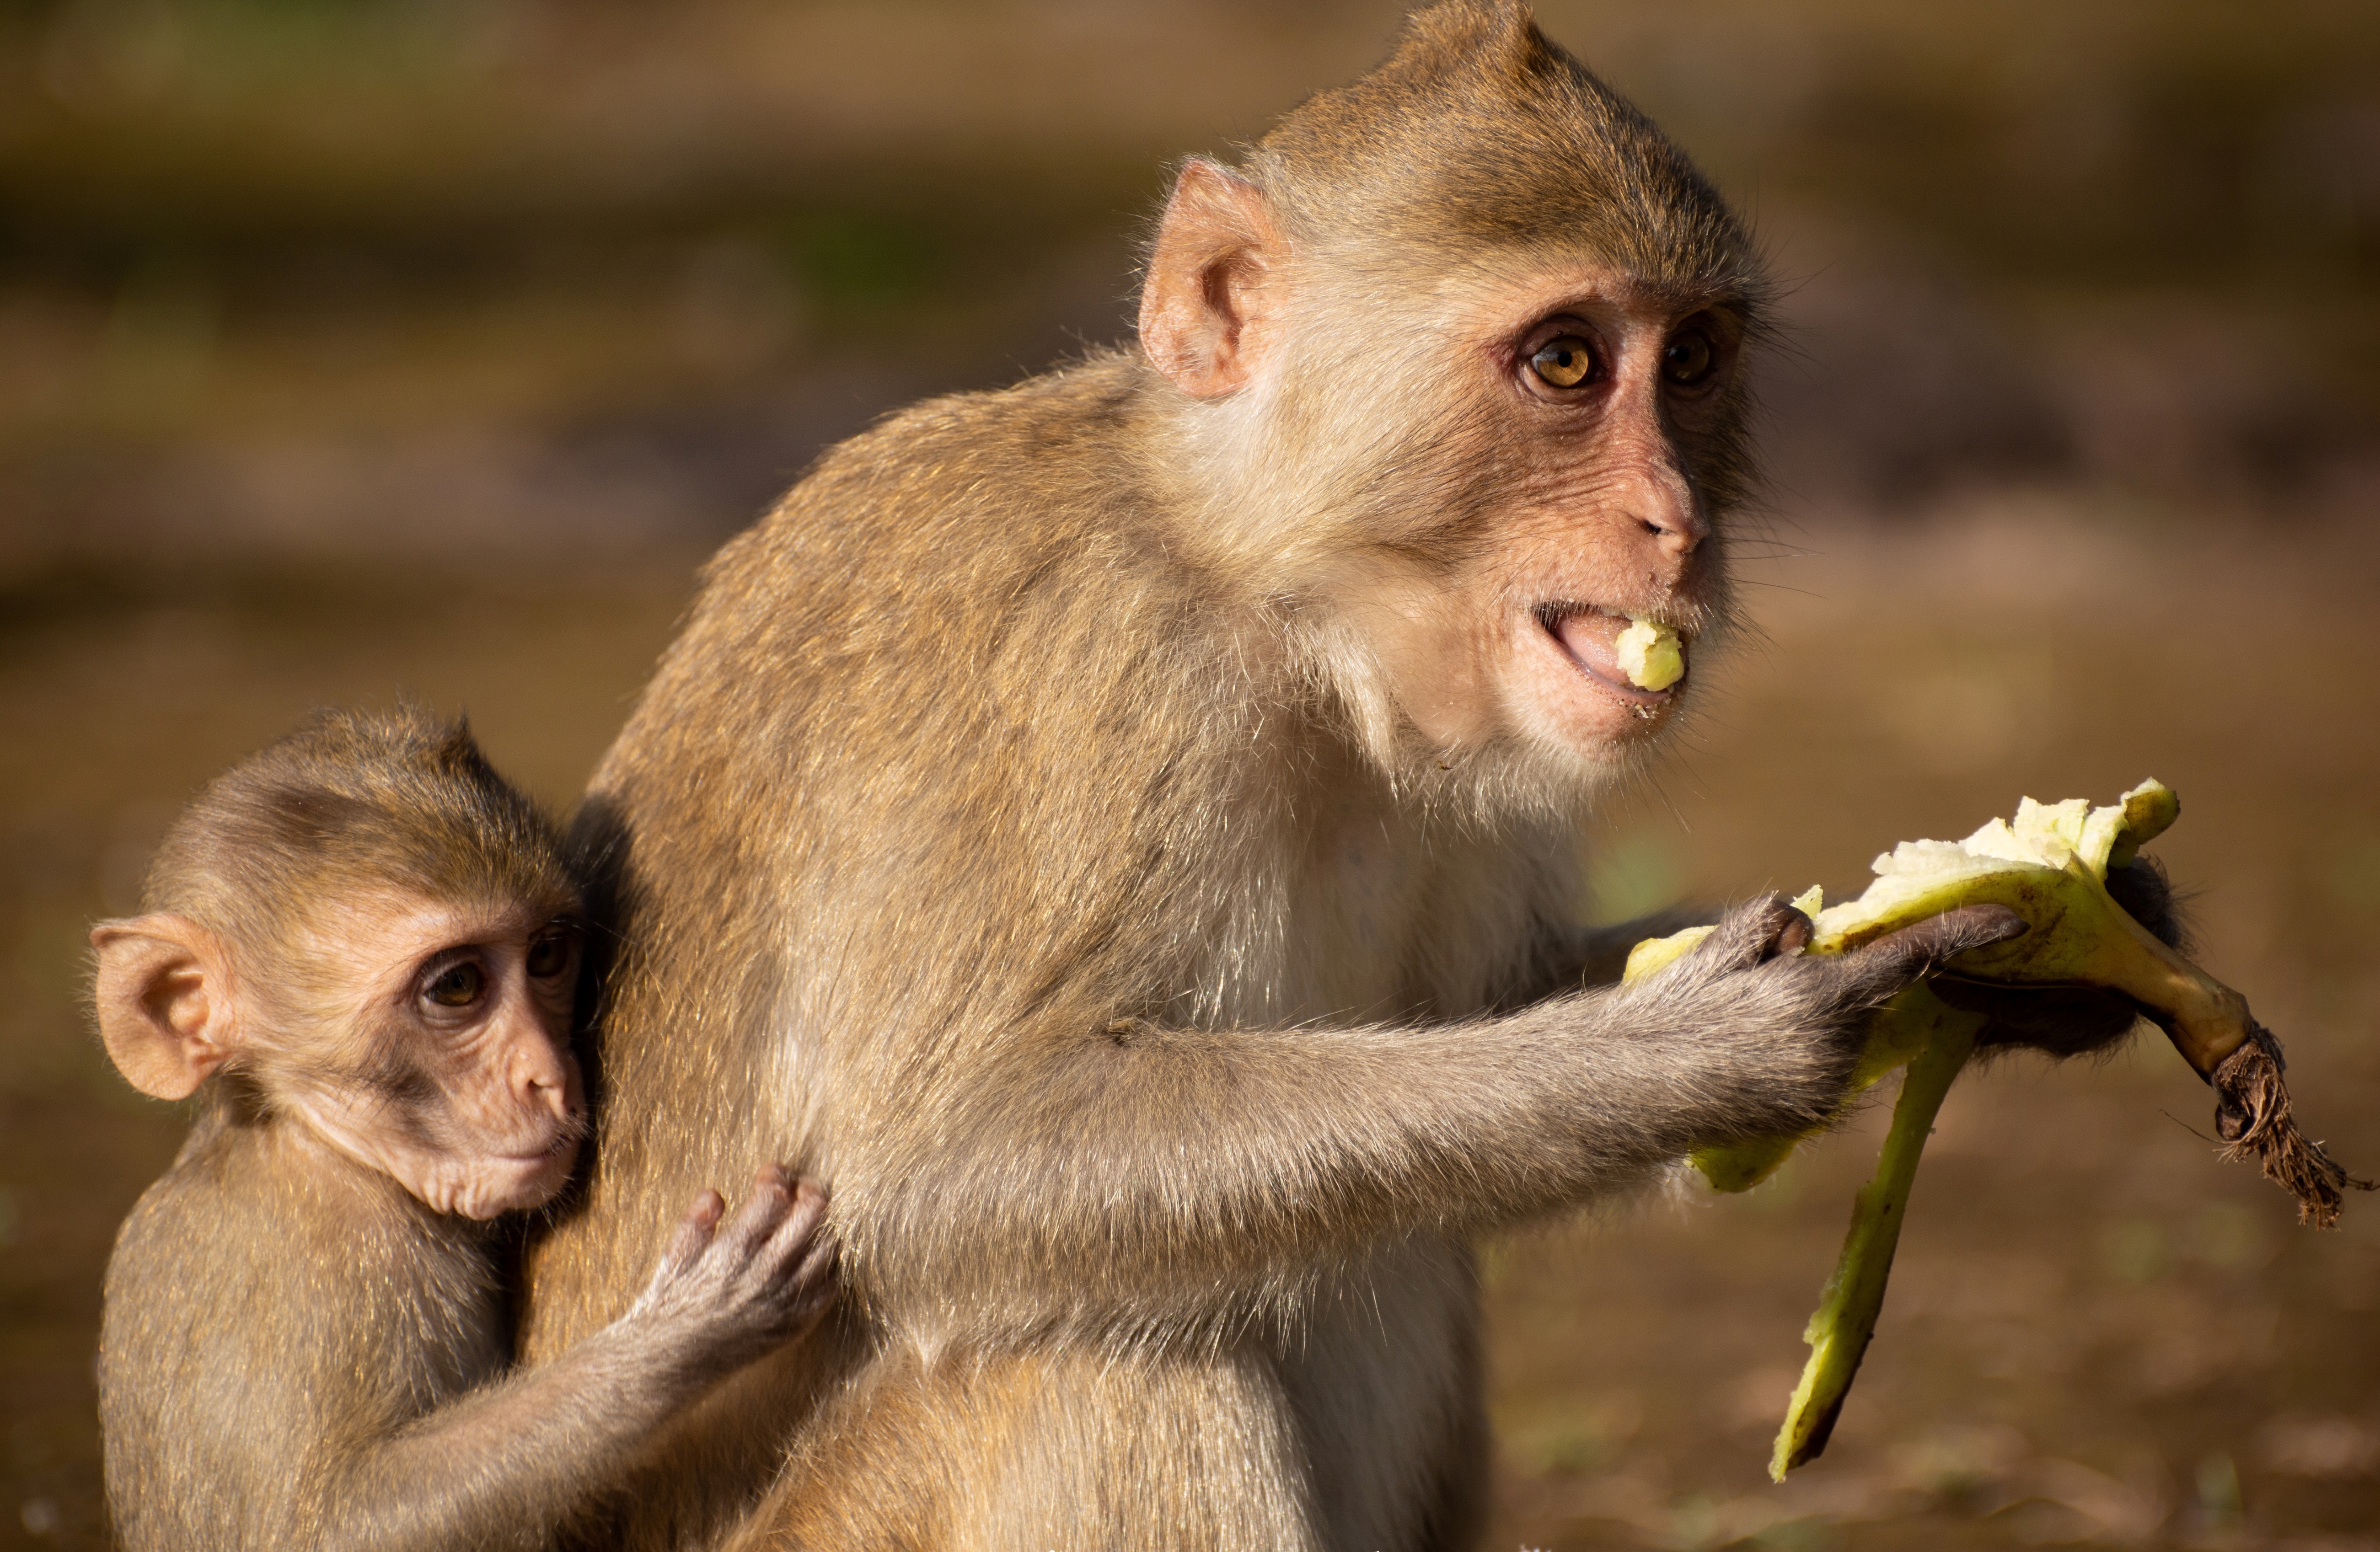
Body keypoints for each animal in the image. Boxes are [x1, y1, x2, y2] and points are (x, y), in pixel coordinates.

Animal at [90, 714, 837, 1552]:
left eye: (547, 954)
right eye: (457, 985)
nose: (548, 1075)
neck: (313, 1143)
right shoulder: (309, 1277)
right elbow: (323, 1527)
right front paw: (680, 1339)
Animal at [526, 6, 2161, 1542]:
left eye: (1693, 361)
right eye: (1567, 361)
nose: (1678, 524)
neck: (1275, 615)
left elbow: (1482, 1001)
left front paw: (2059, 945)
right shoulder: (1082, 673)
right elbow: (949, 1166)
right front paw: (1703, 1049)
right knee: (1106, 1357)